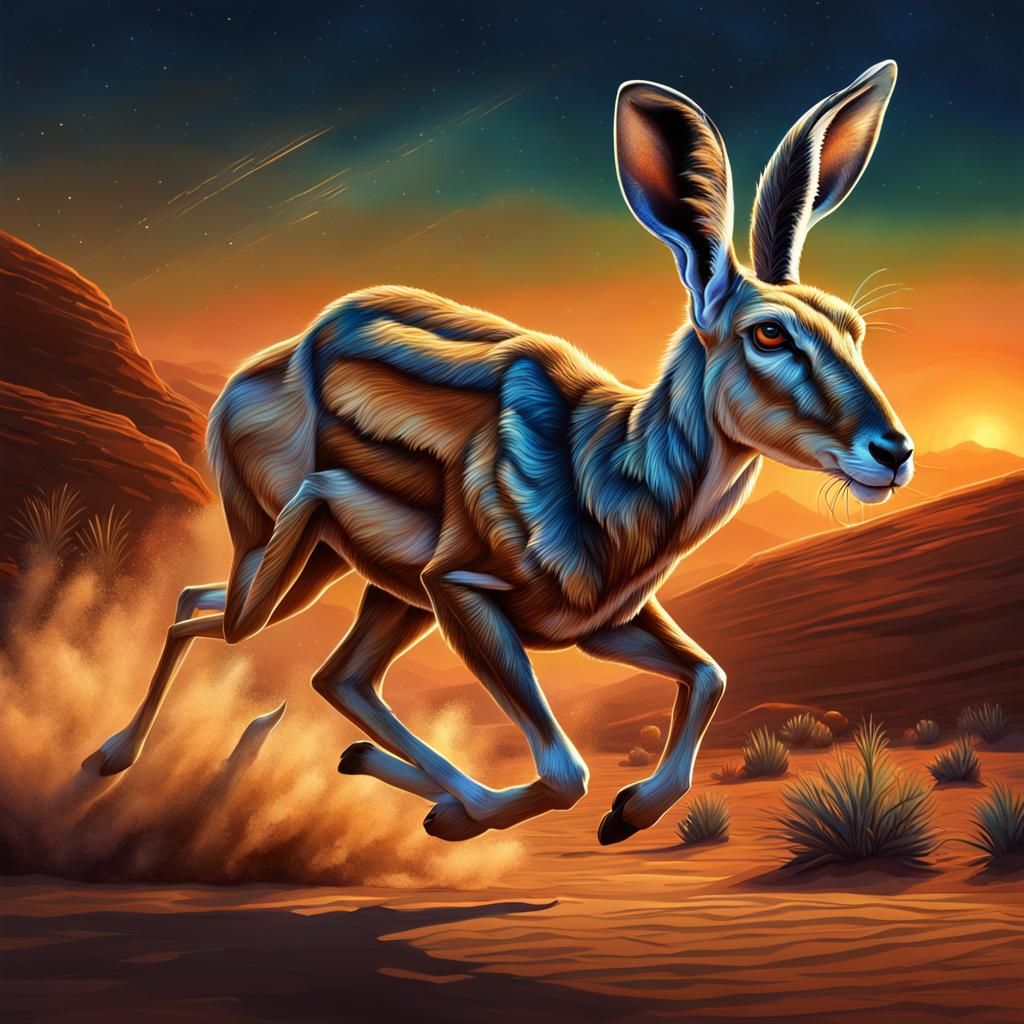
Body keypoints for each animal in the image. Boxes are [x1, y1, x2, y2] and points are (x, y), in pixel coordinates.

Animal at [86, 62, 913, 845]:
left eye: (853, 328)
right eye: (769, 333)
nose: (895, 451)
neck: (608, 468)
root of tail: (244, 382)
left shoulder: (596, 625)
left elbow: (708, 673)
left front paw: (625, 812)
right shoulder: (460, 587)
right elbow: (567, 769)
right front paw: (536, 816)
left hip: (365, 580)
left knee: (329, 672)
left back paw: (386, 777)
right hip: (307, 560)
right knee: (213, 617)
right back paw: (110, 757)